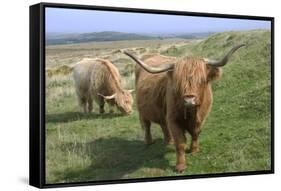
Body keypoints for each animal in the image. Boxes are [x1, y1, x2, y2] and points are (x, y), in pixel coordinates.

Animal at [123, 44, 244, 172]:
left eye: (201, 80)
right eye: (178, 82)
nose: (189, 100)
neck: (192, 113)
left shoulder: (202, 117)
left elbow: (196, 133)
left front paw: (194, 150)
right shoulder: (173, 119)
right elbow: (180, 142)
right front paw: (180, 166)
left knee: (163, 124)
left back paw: (169, 141)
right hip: (142, 110)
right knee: (147, 125)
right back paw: (149, 141)